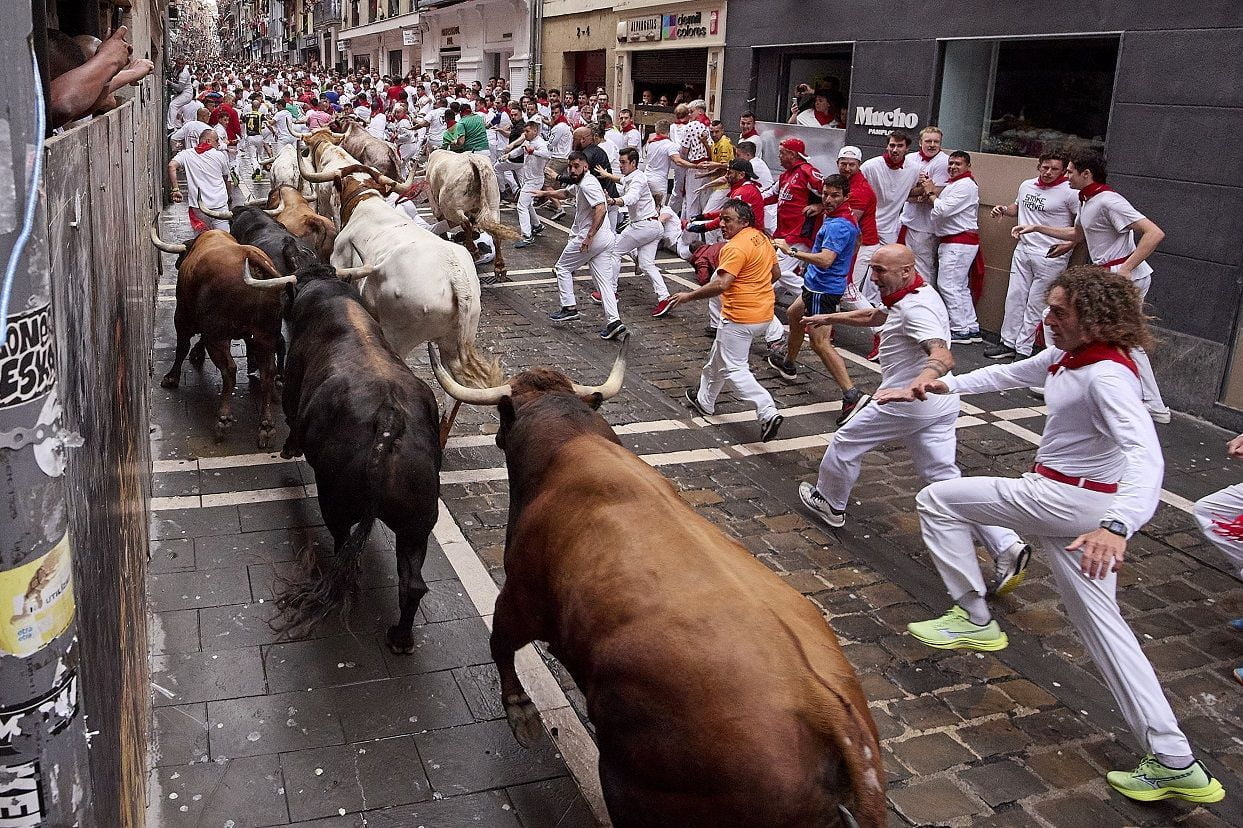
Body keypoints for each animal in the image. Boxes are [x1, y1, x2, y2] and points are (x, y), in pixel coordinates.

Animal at [150, 223, 285, 445]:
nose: (178, 263)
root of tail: (251, 257)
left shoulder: (182, 316)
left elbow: (182, 347)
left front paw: (171, 378)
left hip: (219, 336)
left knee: (229, 370)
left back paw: (223, 419)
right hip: (265, 335)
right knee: (268, 372)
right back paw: (266, 425)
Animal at [272, 259, 442, 651]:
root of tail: (389, 418)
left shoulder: (292, 379)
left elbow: (290, 419)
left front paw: (288, 449)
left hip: (334, 499)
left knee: (341, 543)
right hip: (418, 523)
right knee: (413, 583)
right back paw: (401, 638)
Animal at [432, 340, 889, 825]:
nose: (497, 437)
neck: (568, 444)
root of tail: (831, 714)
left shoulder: (520, 596)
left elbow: (500, 644)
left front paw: (521, 714)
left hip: (636, 788)